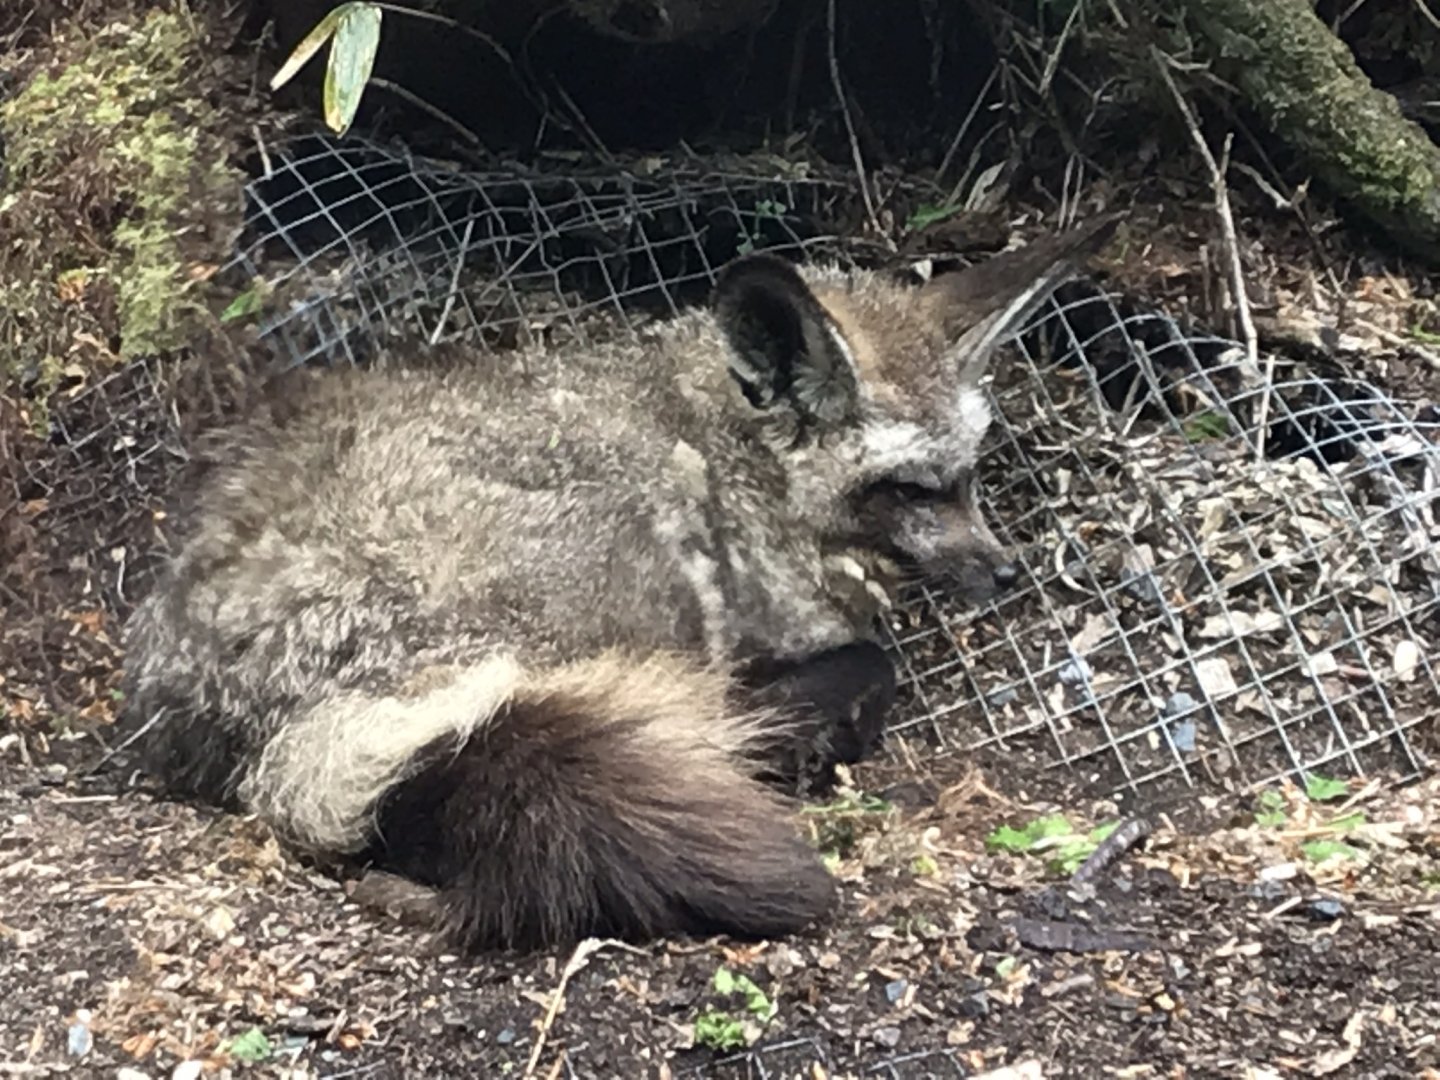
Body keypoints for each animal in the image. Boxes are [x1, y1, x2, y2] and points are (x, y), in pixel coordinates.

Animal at [119, 213, 1118, 953]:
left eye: (970, 476)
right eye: (909, 489)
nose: (1006, 569)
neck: (733, 460)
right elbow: (863, 659)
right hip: (611, 584)